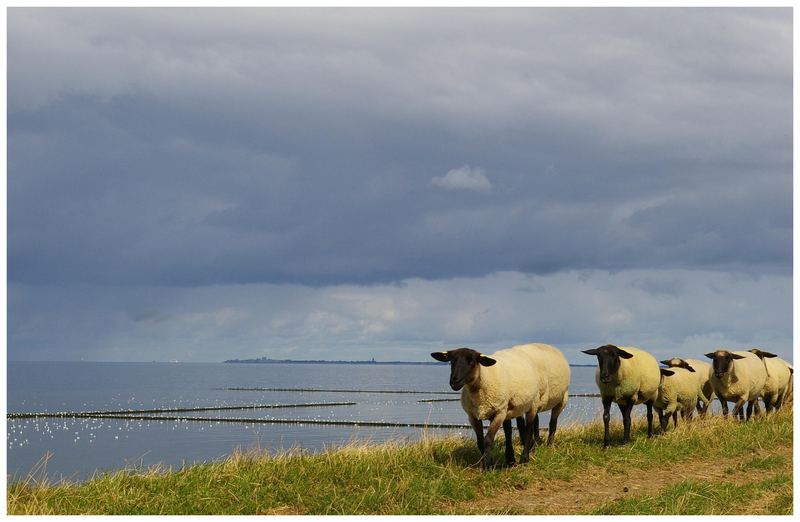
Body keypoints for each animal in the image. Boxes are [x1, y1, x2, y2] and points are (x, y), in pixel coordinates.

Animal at [428, 342, 572, 468]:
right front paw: (489, 460)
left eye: (472, 361)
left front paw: (487, 465)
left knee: (541, 425)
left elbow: (488, 439)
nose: (454, 381)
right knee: (517, 428)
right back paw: (512, 457)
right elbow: (480, 441)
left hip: (544, 402)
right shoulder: (473, 416)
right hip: (515, 407)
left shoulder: (499, 413)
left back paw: (528, 456)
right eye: (452, 361)